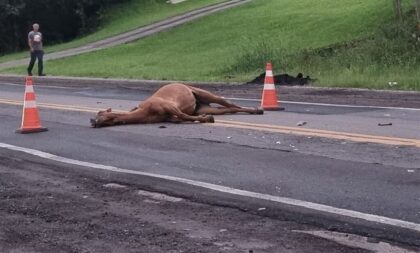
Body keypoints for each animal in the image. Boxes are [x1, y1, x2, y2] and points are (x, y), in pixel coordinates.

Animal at [90, 82, 264, 127]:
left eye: (100, 113)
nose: (92, 121)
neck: (146, 111)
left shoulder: (169, 106)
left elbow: (183, 115)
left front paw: (206, 119)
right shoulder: (169, 116)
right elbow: (180, 118)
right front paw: (205, 117)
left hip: (203, 93)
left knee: (229, 103)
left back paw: (257, 109)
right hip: (204, 105)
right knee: (227, 109)